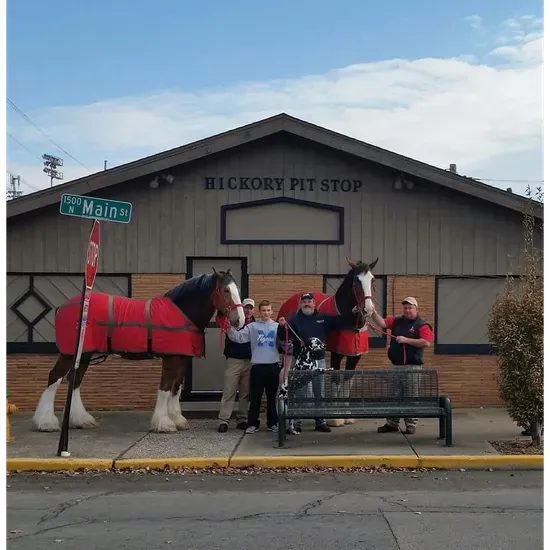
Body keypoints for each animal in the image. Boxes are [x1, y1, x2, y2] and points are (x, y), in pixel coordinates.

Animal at [31, 268, 245, 436]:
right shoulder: (171, 359)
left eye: (236, 289)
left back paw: (81, 419)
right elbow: (165, 388)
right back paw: (46, 422)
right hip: (70, 353)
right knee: (54, 378)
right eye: (226, 290)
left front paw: (178, 420)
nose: (239, 320)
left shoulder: (182, 358)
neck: (182, 311)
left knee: (75, 381)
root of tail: (63, 306)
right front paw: (164, 423)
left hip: (84, 354)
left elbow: (176, 388)